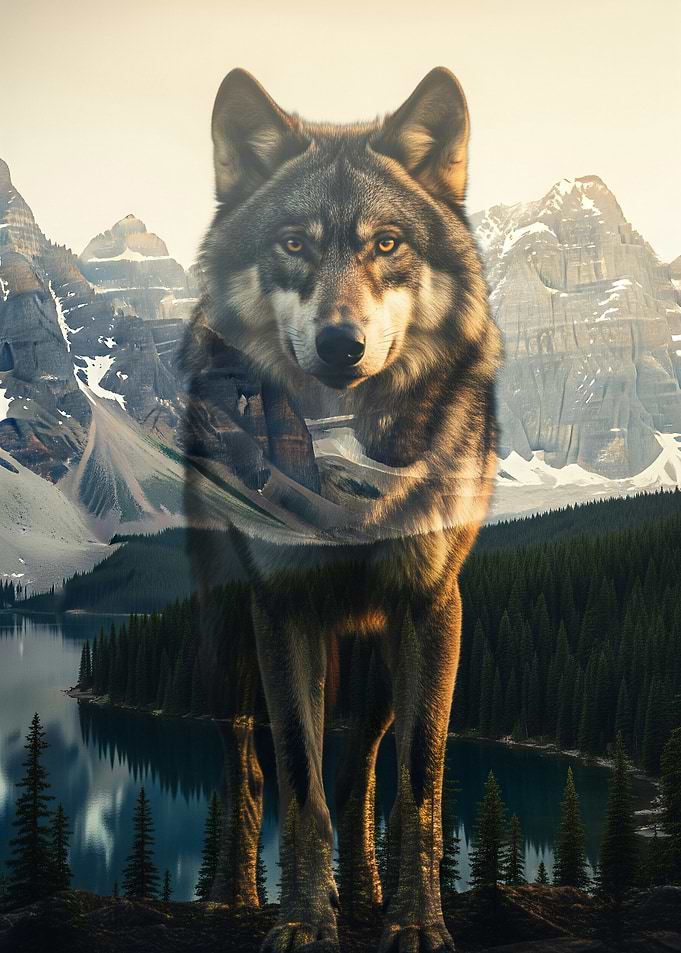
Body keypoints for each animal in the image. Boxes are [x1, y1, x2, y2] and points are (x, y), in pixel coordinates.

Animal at [182, 67, 501, 952]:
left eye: (385, 244)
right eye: (293, 243)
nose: (339, 344)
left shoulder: (431, 607)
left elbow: (416, 785)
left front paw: (414, 920)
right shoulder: (282, 609)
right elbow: (297, 779)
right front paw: (300, 919)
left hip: (375, 658)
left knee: (358, 769)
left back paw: (363, 889)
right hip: (225, 643)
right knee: (247, 766)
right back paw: (232, 896)